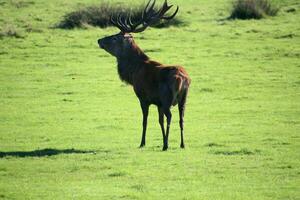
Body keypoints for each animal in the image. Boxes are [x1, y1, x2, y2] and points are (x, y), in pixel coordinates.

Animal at [99, 0, 192, 150]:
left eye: (114, 37)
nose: (99, 40)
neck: (133, 72)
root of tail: (182, 78)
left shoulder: (144, 97)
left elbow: (145, 120)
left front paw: (142, 143)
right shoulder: (158, 102)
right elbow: (159, 121)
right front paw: (162, 140)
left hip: (167, 98)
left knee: (170, 116)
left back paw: (166, 145)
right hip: (184, 98)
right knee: (181, 118)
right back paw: (182, 144)